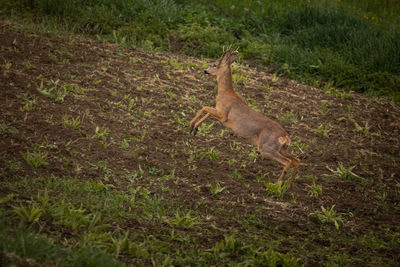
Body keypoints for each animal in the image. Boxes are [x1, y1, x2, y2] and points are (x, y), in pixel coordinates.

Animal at [190, 48, 300, 189]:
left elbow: (204, 108)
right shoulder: (219, 113)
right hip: (282, 148)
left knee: (287, 162)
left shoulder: (224, 115)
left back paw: (276, 185)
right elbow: (207, 112)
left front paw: (191, 126)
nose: (205, 71)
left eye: (214, 64)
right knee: (296, 160)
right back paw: (288, 186)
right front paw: (195, 129)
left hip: (266, 147)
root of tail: (285, 137)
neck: (225, 93)